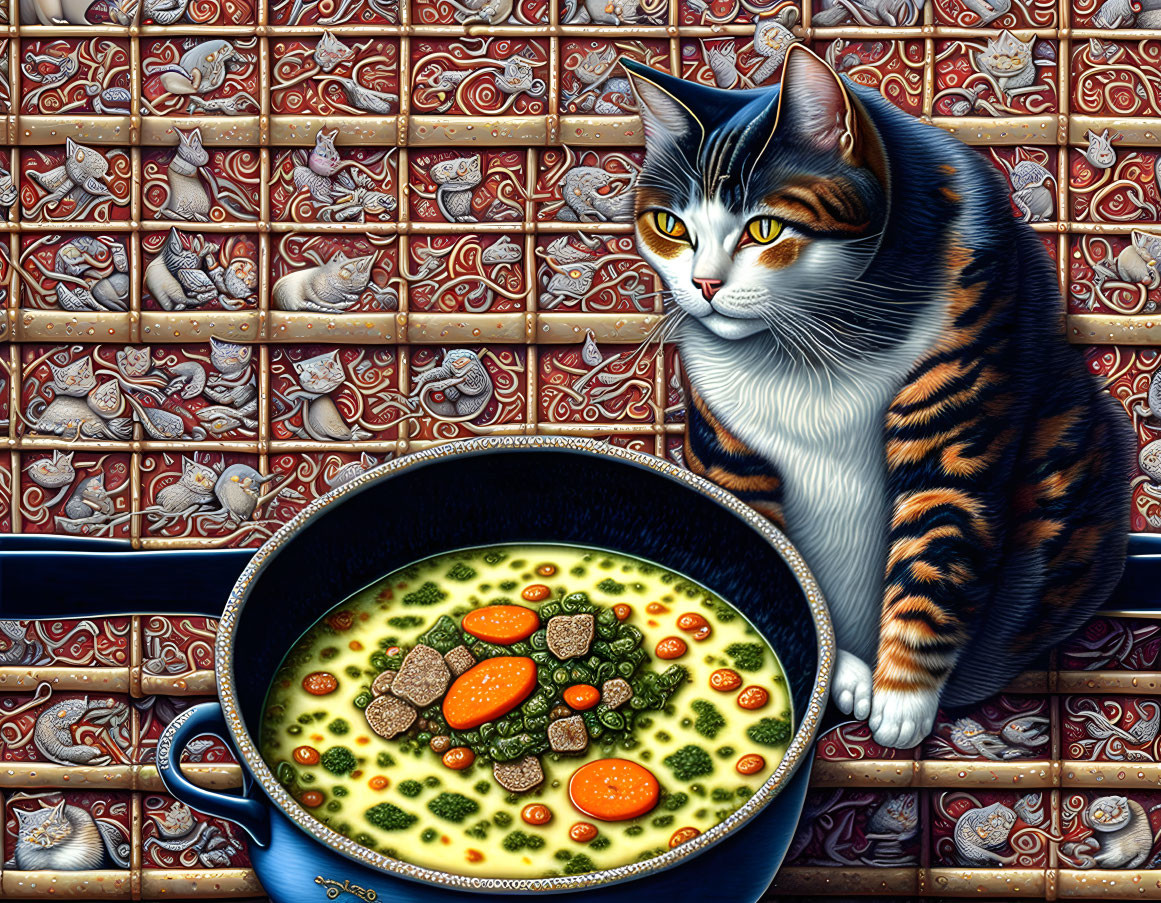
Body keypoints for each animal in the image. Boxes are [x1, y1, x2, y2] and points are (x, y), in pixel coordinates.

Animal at [626, 45, 1133, 747]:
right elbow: (779, 561)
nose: (702, 284)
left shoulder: (953, 439)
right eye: (670, 225)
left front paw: (901, 700)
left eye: (764, 228)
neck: (816, 340)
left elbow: (936, 553)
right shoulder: (728, 457)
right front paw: (839, 672)